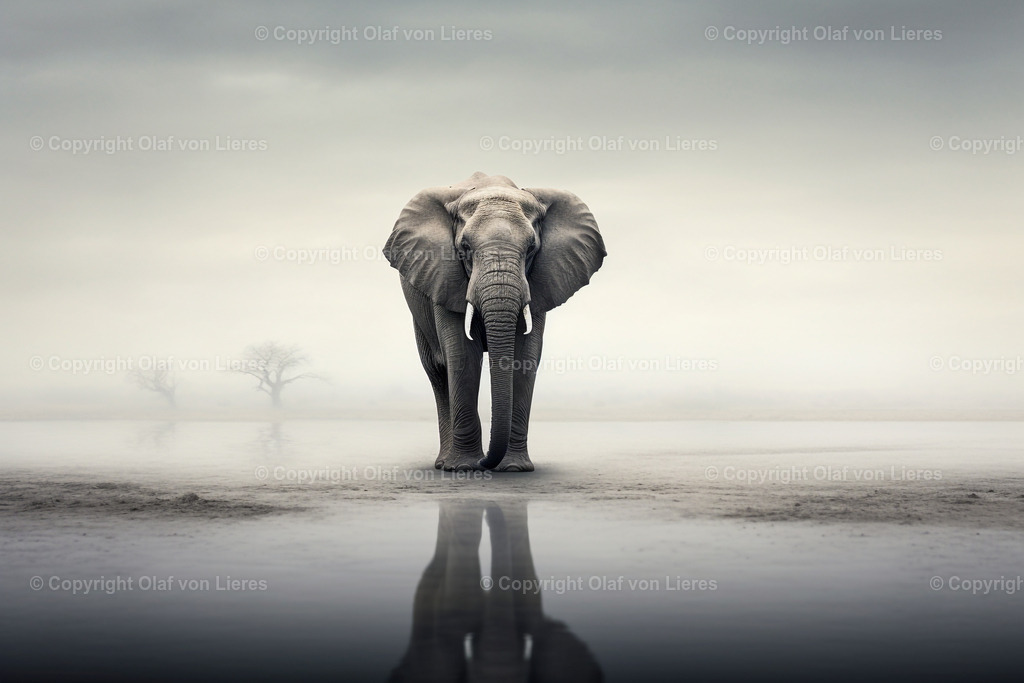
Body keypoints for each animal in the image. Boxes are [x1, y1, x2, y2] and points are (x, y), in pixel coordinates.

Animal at [384, 173, 605, 471]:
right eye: (464, 249)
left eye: (531, 249)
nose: (485, 462)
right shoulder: (445, 277)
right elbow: (462, 356)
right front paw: (464, 468)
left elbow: (525, 357)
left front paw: (514, 468)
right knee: (438, 372)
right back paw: (443, 464)